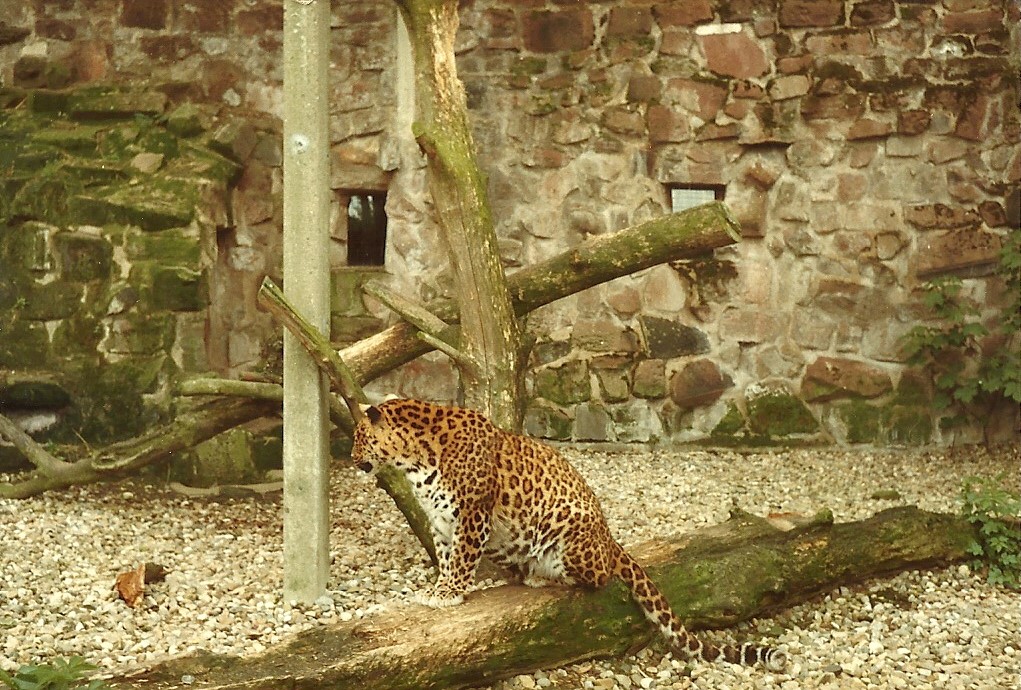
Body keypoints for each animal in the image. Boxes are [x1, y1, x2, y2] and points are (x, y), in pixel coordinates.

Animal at [351, 398, 786, 671]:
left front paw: (448, 593)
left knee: (599, 577)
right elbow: (445, 555)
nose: (354, 460)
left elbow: (461, 558)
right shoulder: (441, 519)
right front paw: (438, 589)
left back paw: (544, 576)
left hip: (570, 534)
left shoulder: (472, 514)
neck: (413, 459)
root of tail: (609, 537)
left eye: (359, 438)